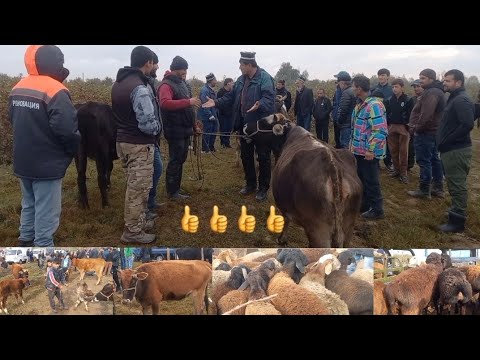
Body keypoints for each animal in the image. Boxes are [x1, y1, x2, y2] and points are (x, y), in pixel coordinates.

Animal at [248, 115, 360, 248]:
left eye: (265, 123)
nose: (245, 126)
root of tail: (332, 165)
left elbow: (286, 219)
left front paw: (282, 239)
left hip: (318, 231)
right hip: (348, 228)